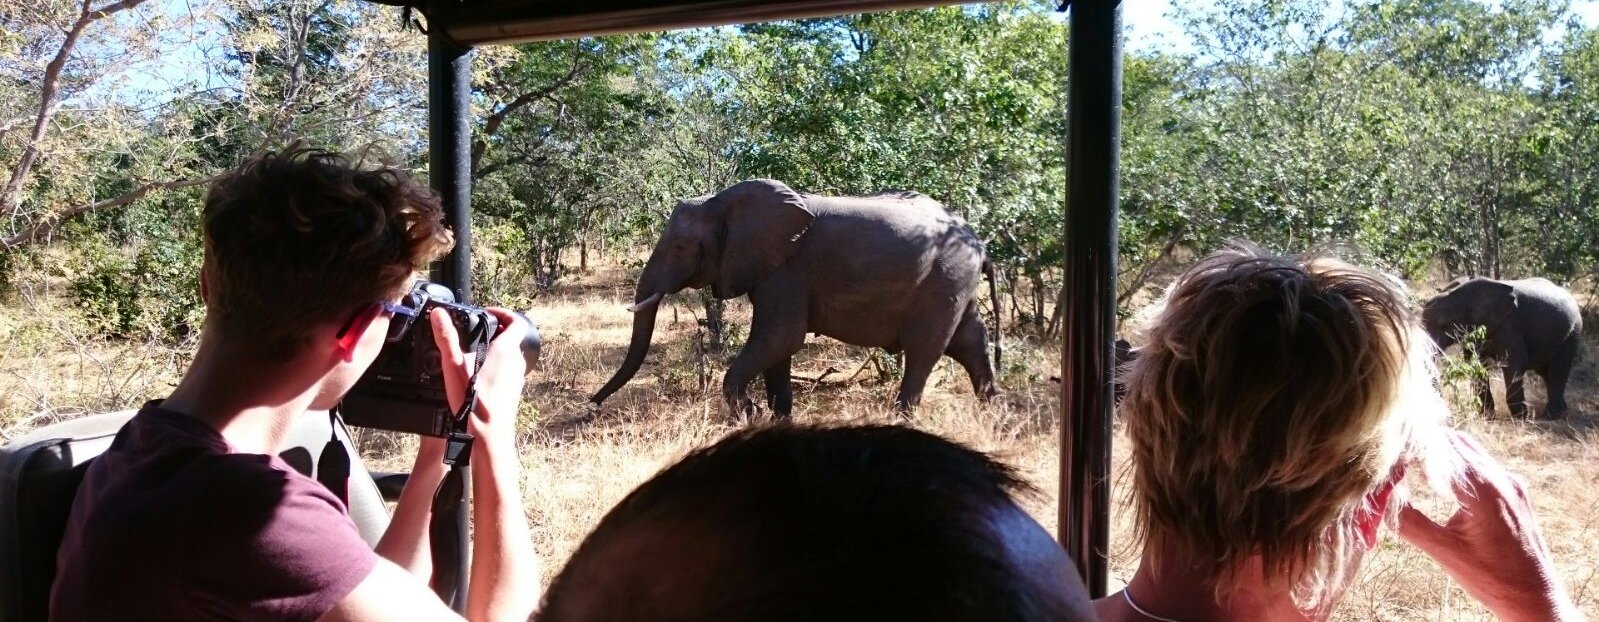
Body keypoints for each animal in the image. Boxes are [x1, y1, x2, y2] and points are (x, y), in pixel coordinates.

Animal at [588, 179, 997, 415]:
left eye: (679, 247)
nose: (592, 404)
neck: (723, 202)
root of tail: (980, 243)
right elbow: (778, 348)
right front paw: (777, 420)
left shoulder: (788, 269)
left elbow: (780, 338)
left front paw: (749, 414)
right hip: (956, 282)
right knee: (969, 341)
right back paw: (991, 412)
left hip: (944, 280)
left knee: (924, 349)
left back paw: (902, 420)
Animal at [1419, 278, 1579, 418]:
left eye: (1443, 326)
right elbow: (1476, 364)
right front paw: (1487, 417)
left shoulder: (1509, 326)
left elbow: (1514, 364)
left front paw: (1521, 418)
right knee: (1546, 374)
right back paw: (1559, 413)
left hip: (1572, 333)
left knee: (1558, 371)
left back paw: (1551, 417)